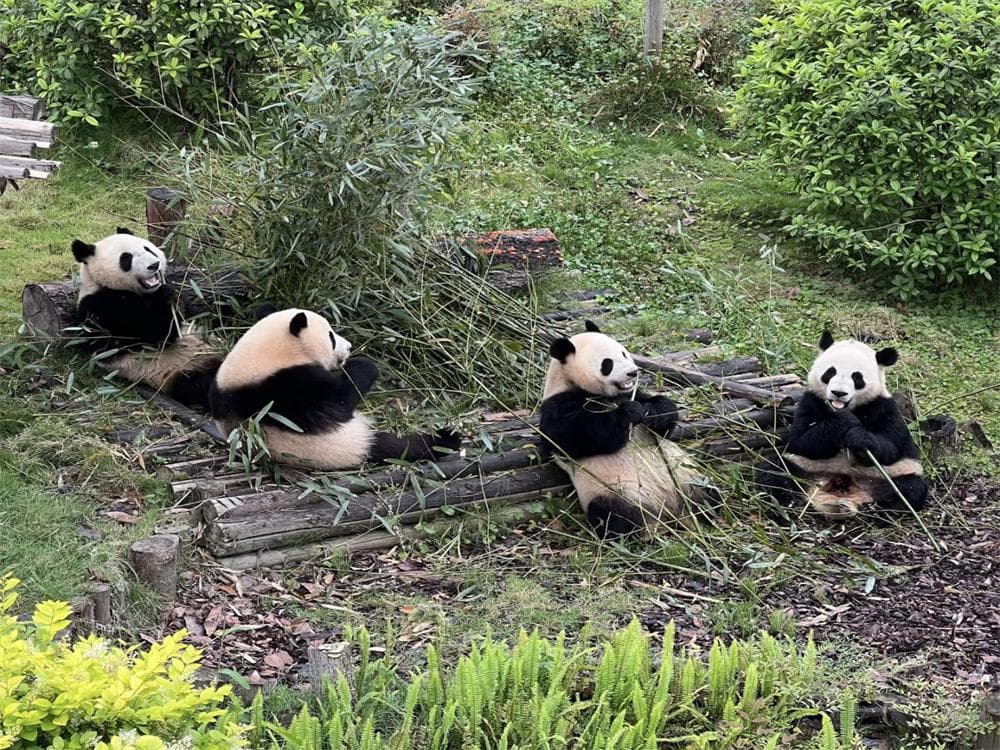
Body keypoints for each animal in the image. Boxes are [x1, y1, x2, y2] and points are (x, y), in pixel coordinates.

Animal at [72, 228, 221, 408]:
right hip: (179, 372)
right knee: (204, 386)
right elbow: (157, 335)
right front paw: (166, 297)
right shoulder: (102, 309)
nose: (154, 265)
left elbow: (195, 316)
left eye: (147, 249)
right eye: (126, 258)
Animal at [208, 307, 462, 470]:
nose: (348, 347)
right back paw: (446, 439)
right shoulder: (283, 388)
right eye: (330, 337)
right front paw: (364, 365)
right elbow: (337, 401)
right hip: (349, 444)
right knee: (400, 447)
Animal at [538, 321, 718, 537]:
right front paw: (628, 413)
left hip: (687, 475)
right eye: (607, 364)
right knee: (613, 516)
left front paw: (654, 413)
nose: (633, 372)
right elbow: (577, 437)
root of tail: (670, 511)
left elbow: (662, 421)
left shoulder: (633, 392)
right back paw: (642, 533)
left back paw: (706, 514)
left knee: (706, 491)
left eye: (624, 353)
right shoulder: (557, 406)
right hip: (613, 492)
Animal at [755, 331, 928, 519]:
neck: (847, 407)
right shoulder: (811, 400)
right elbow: (801, 440)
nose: (838, 393)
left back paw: (879, 507)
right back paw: (786, 501)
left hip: (889, 474)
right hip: (802, 467)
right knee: (775, 471)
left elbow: (891, 445)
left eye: (857, 377)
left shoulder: (884, 406)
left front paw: (859, 437)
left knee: (910, 488)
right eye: (830, 372)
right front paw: (845, 420)